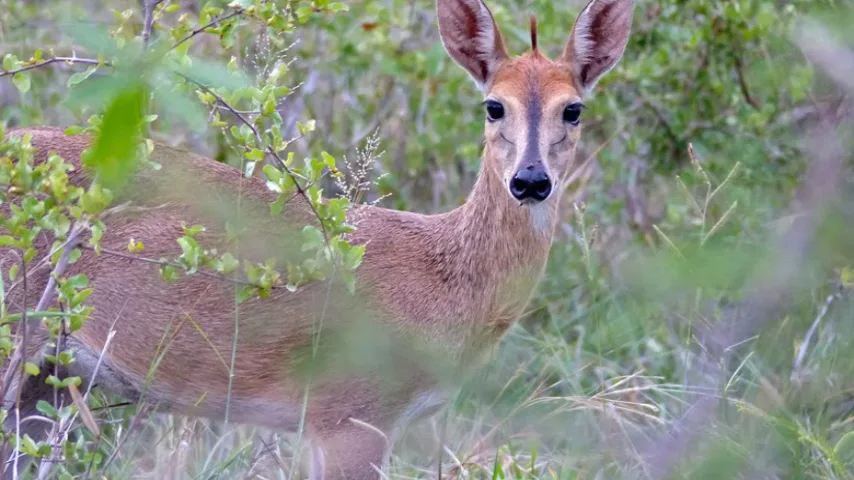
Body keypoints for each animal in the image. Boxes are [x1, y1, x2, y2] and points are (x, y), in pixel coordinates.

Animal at [1, 0, 636, 474]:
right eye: (493, 105)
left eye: (573, 110)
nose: (530, 180)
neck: (442, 280)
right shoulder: (351, 415)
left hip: (46, 380)